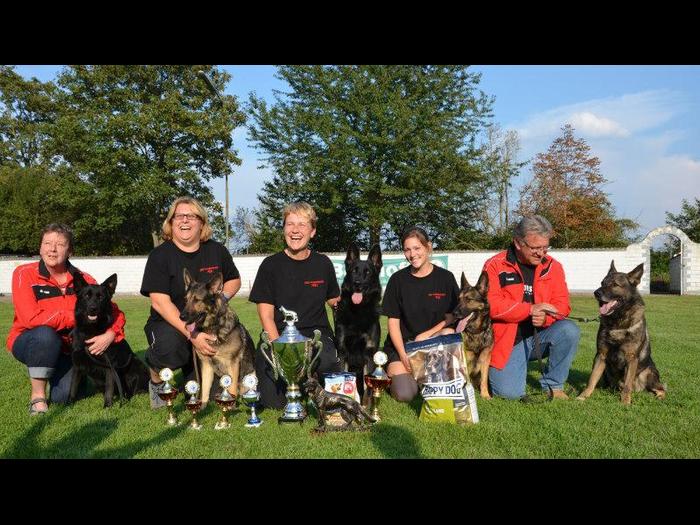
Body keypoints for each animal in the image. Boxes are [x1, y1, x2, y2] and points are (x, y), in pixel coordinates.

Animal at [69, 272, 149, 408]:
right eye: (86, 296)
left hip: (134, 367)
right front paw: (67, 405)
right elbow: (73, 387)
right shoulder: (77, 365)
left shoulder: (109, 366)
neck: (91, 332)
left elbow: (109, 388)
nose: (93, 308)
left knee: (131, 391)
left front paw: (107, 406)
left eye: (101, 297)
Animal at [334, 244, 382, 396]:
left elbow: (368, 388)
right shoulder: (342, 352)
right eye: (354, 271)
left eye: (367, 272)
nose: (357, 283)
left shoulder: (369, 354)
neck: (358, 311)